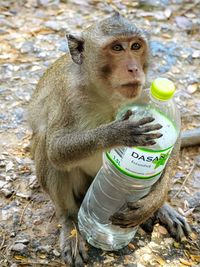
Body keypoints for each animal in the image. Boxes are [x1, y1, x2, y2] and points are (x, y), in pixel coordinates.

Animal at [27, 14, 191, 267]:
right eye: (117, 48)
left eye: (136, 46)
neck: (108, 95)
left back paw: (161, 208)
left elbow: (176, 139)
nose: (133, 68)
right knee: (45, 147)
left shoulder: (146, 84)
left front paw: (154, 202)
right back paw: (70, 223)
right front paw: (118, 132)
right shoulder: (67, 95)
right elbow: (55, 150)